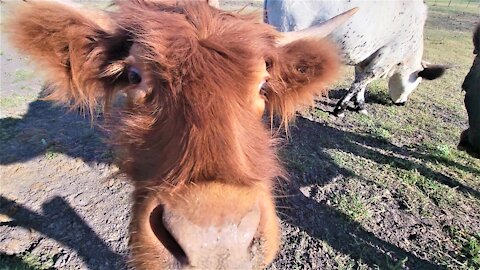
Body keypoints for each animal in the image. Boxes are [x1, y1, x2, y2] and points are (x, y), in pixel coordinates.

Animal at [264, 0, 444, 116]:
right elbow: (359, 83)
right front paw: (340, 109)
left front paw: (360, 105)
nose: (402, 103)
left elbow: (360, 81)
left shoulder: (365, 58)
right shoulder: (383, 60)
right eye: (417, 82)